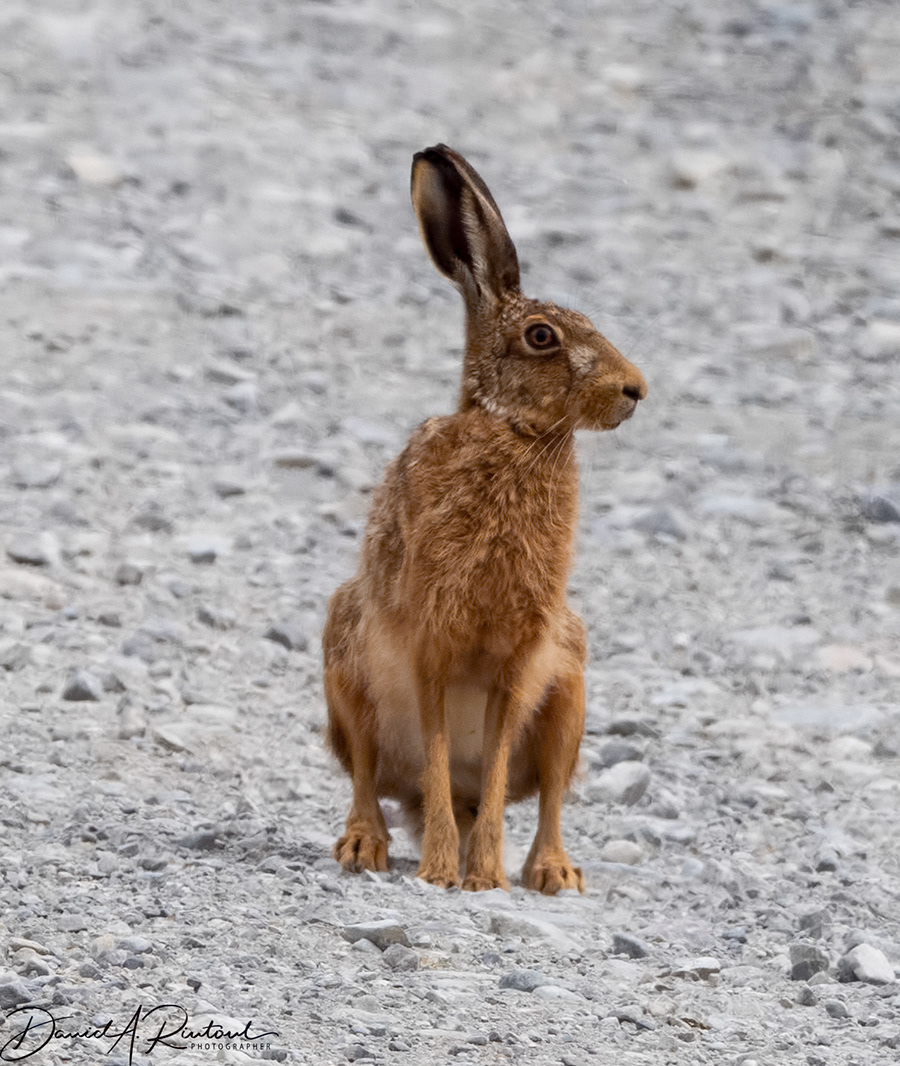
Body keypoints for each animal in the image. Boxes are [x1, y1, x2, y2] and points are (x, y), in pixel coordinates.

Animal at [323, 144, 647, 894]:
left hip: (570, 693)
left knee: (547, 794)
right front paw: (444, 872)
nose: (636, 390)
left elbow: (497, 770)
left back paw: (553, 873)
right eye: (541, 337)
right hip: (344, 667)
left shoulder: (517, 662)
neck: (514, 432)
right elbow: (440, 753)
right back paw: (364, 847)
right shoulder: (432, 646)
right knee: (370, 778)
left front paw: (484, 877)